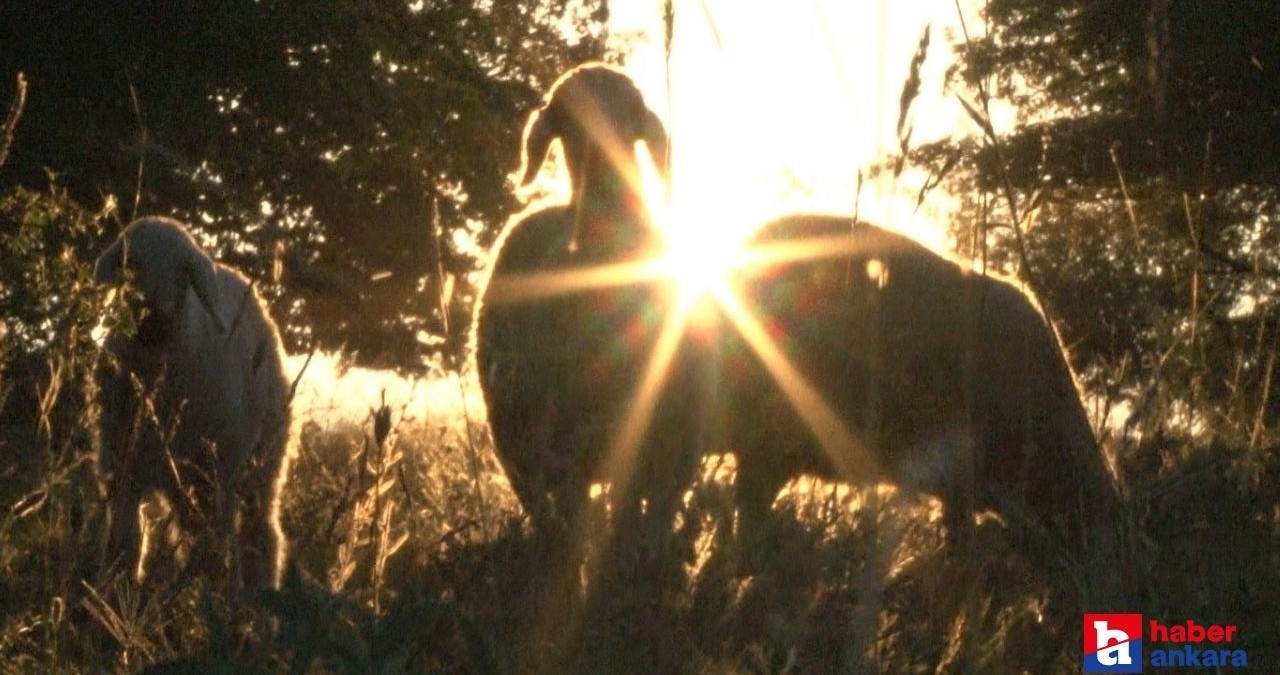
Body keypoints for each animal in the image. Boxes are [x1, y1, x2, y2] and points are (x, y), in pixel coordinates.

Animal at [93, 215, 291, 586]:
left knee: (259, 533)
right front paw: (112, 593)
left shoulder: (218, 474)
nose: (152, 315)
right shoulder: (123, 468)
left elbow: (213, 549)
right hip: (187, 479)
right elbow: (124, 542)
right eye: (130, 262)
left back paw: (258, 589)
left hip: (259, 463)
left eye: (183, 272)